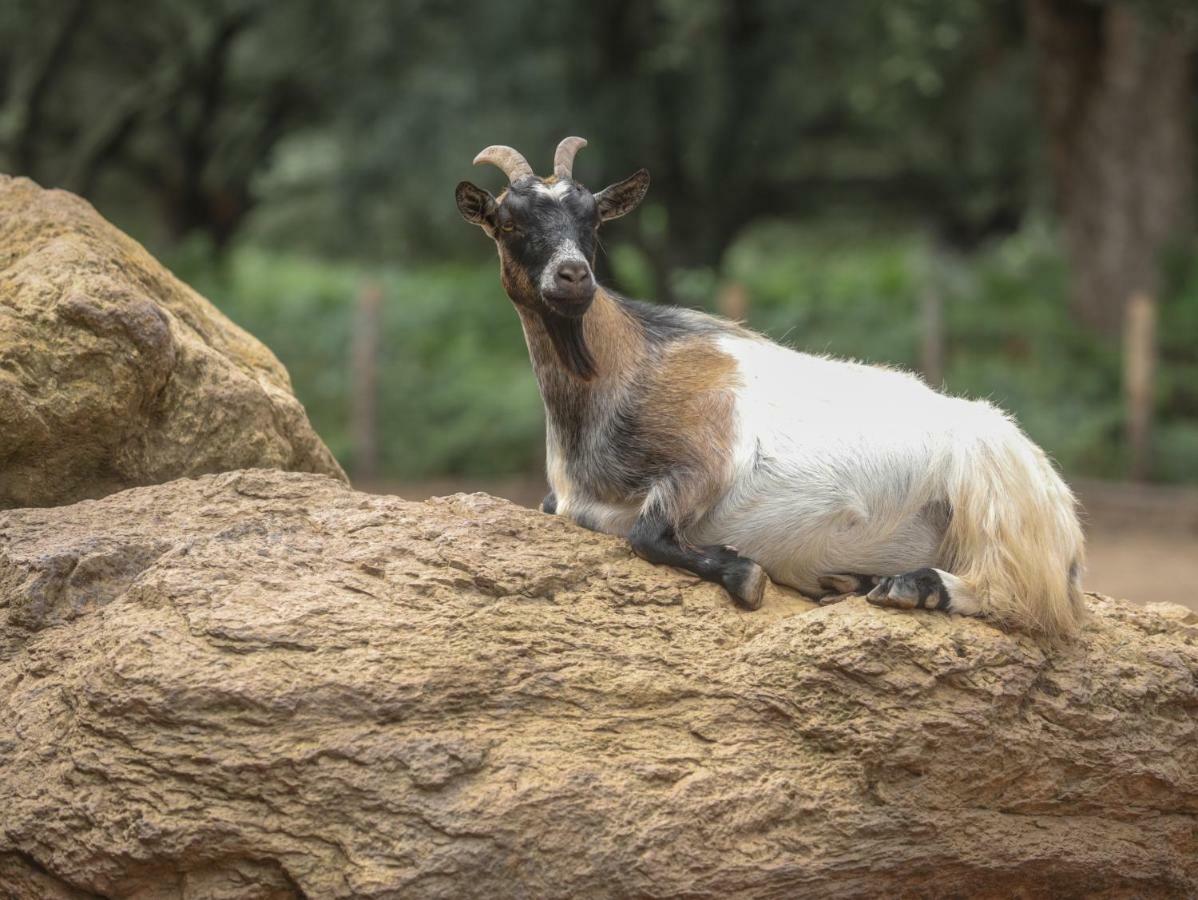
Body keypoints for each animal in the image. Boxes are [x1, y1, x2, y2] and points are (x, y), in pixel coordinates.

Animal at [455, 135, 1087, 642]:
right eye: (509, 223)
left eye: (592, 221)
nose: (573, 277)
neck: (625, 371)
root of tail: (1064, 517)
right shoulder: (564, 501)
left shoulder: (706, 460)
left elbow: (646, 534)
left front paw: (745, 573)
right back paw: (857, 579)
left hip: (995, 499)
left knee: (1026, 599)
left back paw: (911, 586)